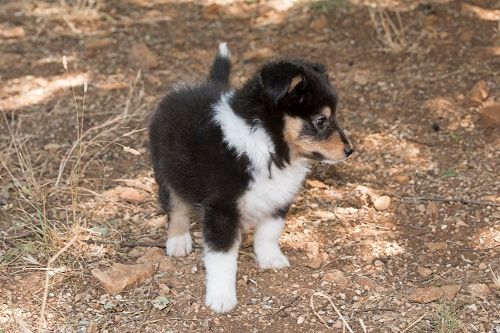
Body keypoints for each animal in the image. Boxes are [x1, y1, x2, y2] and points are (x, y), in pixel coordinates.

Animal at [147, 42, 352, 312]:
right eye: (321, 120)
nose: (350, 150)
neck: (267, 146)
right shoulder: (222, 209)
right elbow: (221, 257)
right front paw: (221, 298)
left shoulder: (279, 197)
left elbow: (269, 232)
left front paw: (271, 259)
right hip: (166, 170)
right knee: (176, 207)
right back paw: (178, 242)